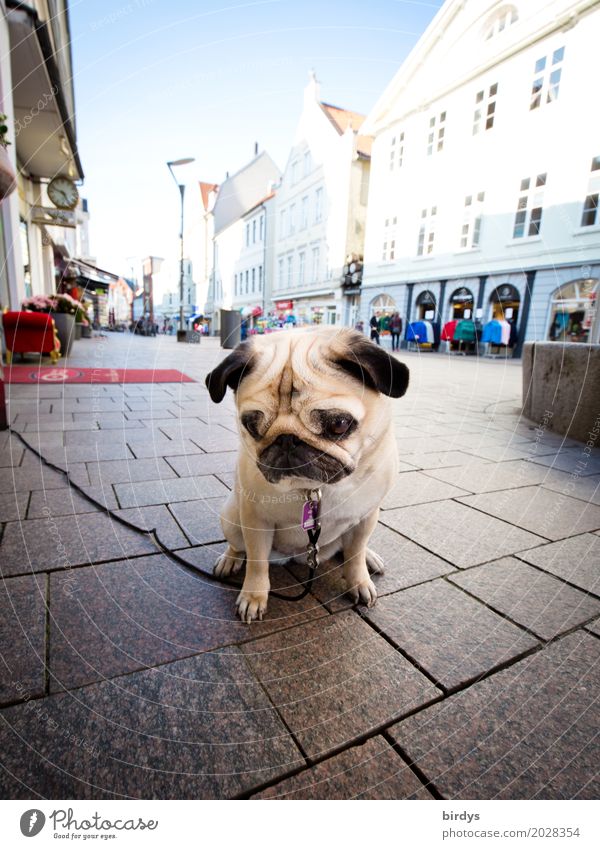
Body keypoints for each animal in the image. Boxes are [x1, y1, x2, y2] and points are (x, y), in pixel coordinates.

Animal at [205, 330, 408, 624]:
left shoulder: (366, 516)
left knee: (351, 549)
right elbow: (256, 563)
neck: (313, 489)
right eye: (252, 425)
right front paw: (253, 596)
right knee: (239, 546)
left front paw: (358, 581)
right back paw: (230, 559)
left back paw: (369, 557)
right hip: (231, 516)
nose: (287, 440)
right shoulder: (256, 521)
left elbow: (355, 554)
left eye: (339, 424)